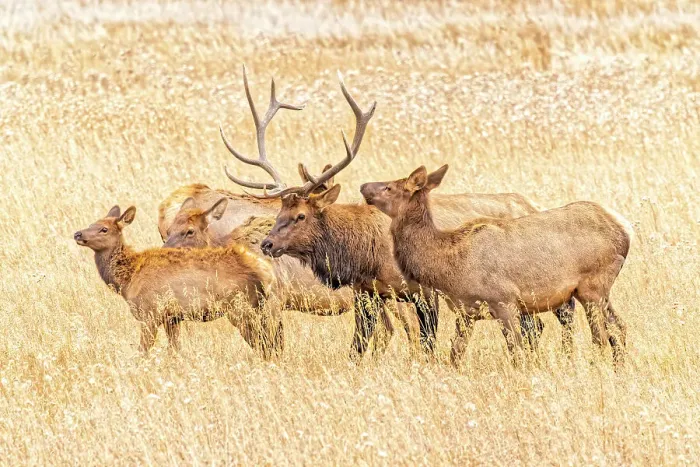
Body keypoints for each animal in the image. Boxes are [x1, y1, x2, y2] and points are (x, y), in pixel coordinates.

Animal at [74, 205, 283, 359]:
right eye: (91, 223)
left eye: (104, 229)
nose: (78, 234)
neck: (127, 279)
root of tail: (266, 272)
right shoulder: (172, 317)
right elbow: (174, 350)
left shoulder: (150, 312)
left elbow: (142, 352)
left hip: (241, 307)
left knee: (264, 345)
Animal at [227, 72, 569, 360]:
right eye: (280, 210)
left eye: (300, 215)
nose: (267, 244)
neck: (366, 256)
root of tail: (529, 204)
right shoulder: (367, 293)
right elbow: (358, 346)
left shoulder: (423, 292)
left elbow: (427, 344)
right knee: (534, 326)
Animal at [361, 165, 632, 367]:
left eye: (389, 187)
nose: (363, 185)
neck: (448, 266)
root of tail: (625, 228)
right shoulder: (466, 312)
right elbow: (455, 355)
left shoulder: (505, 302)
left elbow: (517, 354)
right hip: (599, 292)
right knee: (619, 327)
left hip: (592, 287)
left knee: (601, 336)